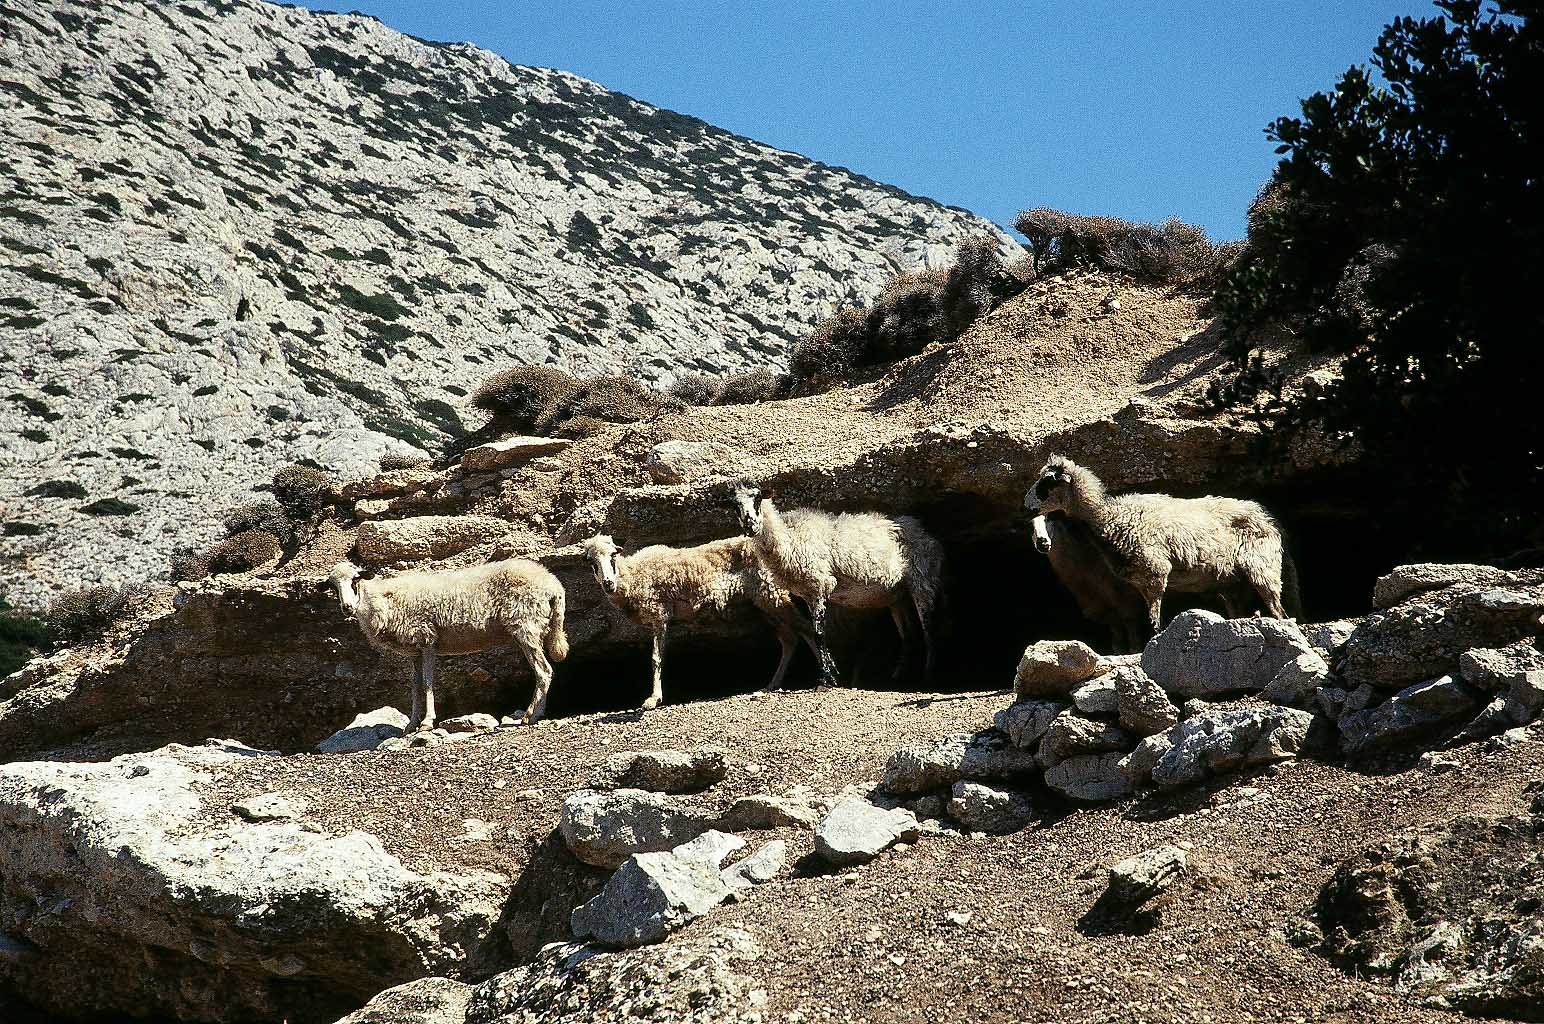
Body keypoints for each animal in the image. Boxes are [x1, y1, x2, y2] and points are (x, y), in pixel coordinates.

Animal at [324, 558, 568, 730]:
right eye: (333, 587)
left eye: (355, 580)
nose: (346, 607)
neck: (382, 601)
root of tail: (554, 586)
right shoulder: (414, 652)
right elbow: (415, 686)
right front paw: (411, 725)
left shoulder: (427, 638)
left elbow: (428, 683)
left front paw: (426, 723)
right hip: (537, 627)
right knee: (544, 671)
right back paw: (537, 714)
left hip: (525, 626)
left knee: (544, 671)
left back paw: (529, 715)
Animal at [581, 534, 820, 710]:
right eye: (592, 562)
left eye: (613, 556)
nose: (608, 583)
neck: (633, 576)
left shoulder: (659, 613)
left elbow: (656, 658)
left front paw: (653, 699)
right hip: (766, 603)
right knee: (790, 639)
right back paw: (772, 685)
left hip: (773, 594)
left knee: (806, 629)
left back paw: (822, 677)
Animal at [731, 484, 944, 685]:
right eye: (735, 505)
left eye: (758, 498)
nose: (750, 526)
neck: (789, 538)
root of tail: (925, 532)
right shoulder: (809, 593)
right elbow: (816, 633)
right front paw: (832, 674)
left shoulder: (820, 585)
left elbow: (819, 634)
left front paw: (826, 680)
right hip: (897, 596)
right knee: (909, 635)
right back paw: (898, 676)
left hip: (923, 580)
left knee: (929, 629)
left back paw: (928, 676)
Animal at [1024, 455, 1301, 636]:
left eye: (1046, 484)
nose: (1025, 507)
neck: (1110, 518)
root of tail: (1271, 519)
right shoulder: (1139, 583)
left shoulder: (1155, 572)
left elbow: (1154, 620)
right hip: (1232, 582)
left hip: (1262, 567)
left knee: (1280, 613)